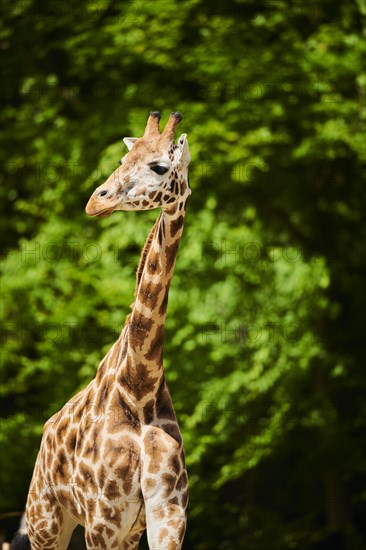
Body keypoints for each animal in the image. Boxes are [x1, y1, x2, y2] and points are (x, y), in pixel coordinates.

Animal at [12, 113, 190, 550]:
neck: (140, 387)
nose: (97, 200)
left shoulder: (167, 514)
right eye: (124, 160)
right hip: (44, 522)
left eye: (159, 166)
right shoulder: (102, 520)